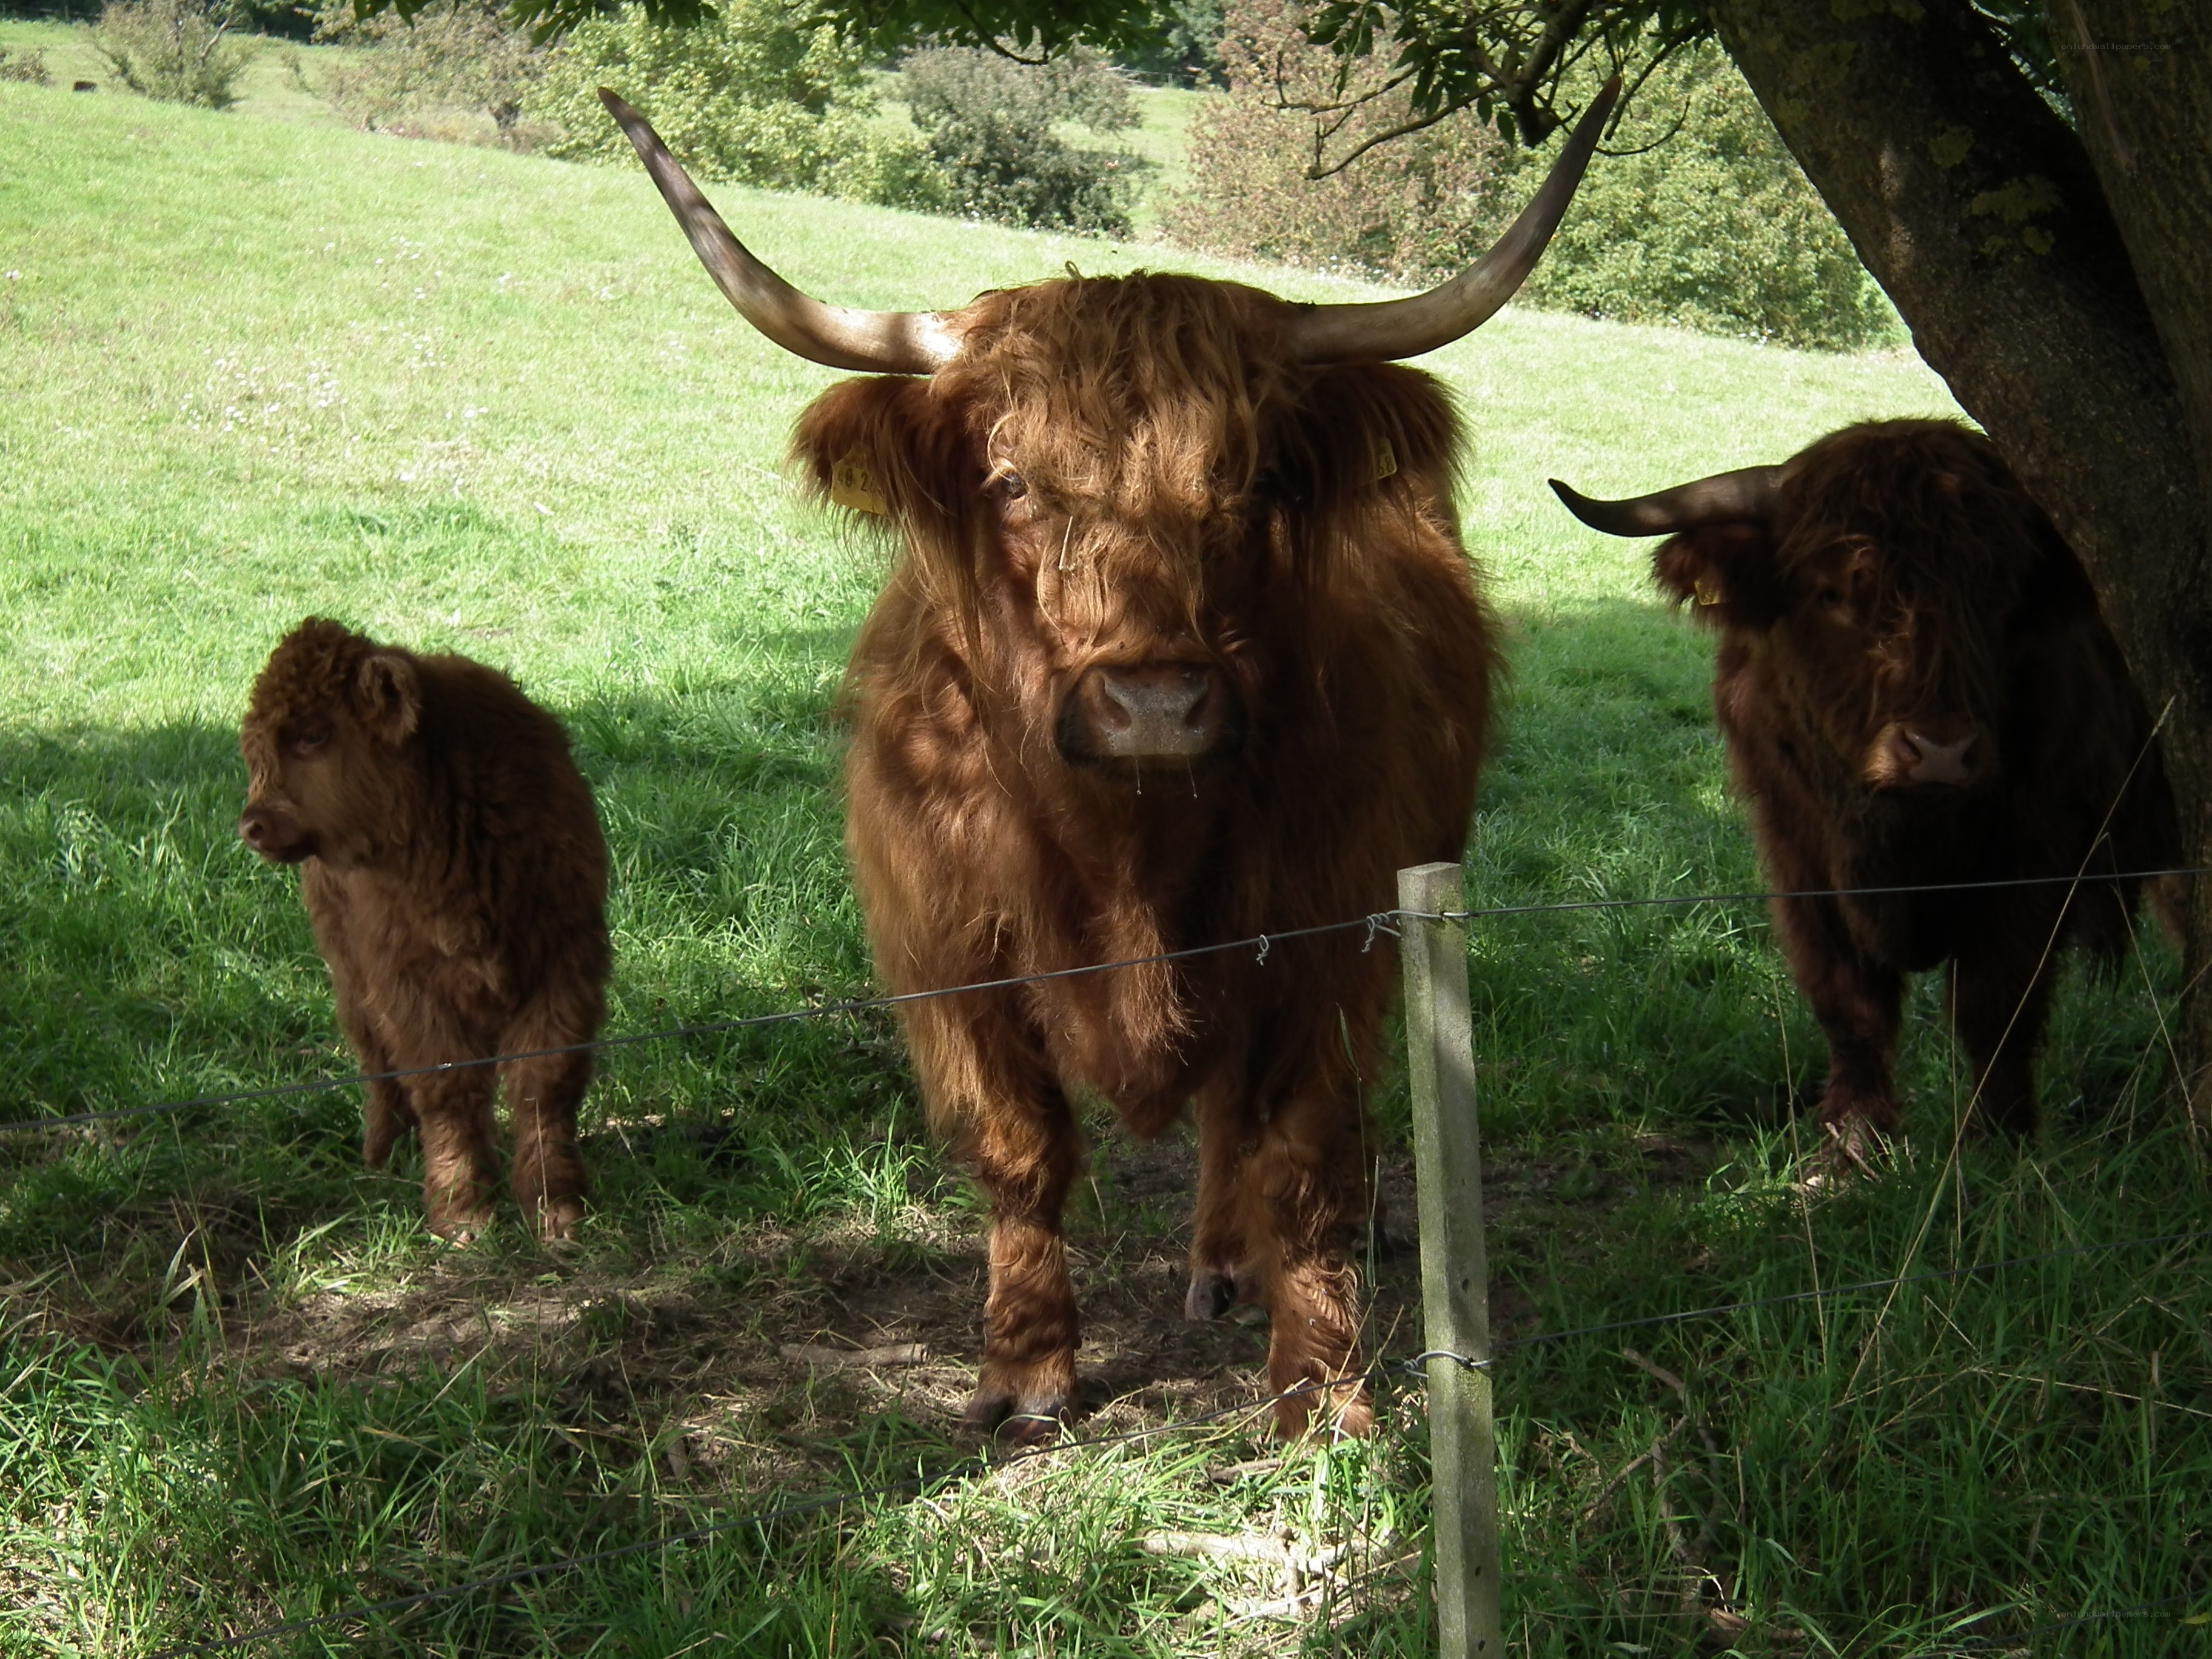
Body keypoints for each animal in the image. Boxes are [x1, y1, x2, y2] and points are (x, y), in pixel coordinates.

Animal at [239, 619, 612, 1243]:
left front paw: (556, 1207)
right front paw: (462, 1212)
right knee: (376, 1062)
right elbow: (446, 1085)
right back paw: (381, 1152)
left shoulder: (566, 966)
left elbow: (544, 1083)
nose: (254, 825)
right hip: (350, 978)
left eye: (314, 735)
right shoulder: (407, 985)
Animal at [600, 84, 1615, 1438]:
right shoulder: (950, 951)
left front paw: (1320, 1390)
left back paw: (1226, 1266)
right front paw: (1026, 1368)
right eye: (1011, 481)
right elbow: (1019, 1149)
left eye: (1251, 481)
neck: (1127, 862)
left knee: (1242, 1125)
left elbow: (1299, 1151)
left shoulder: (1327, 935)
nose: (1153, 702)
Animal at [1552, 419, 2179, 1165]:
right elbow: (1849, 1004)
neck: (1899, 839)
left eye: (1996, 595)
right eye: (1832, 594)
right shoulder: (1798, 856)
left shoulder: (2034, 859)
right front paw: (1852, 1143)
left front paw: (1998, 1145)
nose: (1940, 752)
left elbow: (1997, 1006)